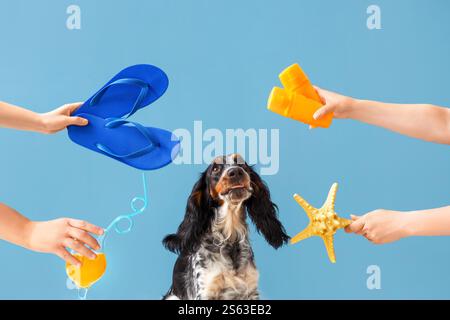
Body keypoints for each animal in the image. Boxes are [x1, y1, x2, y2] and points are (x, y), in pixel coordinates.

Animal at [163, 154, 290, 298]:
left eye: (242, 164)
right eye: (215, 169)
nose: (235, 172)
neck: (230, 238)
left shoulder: (251, 290)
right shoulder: (206, 290)